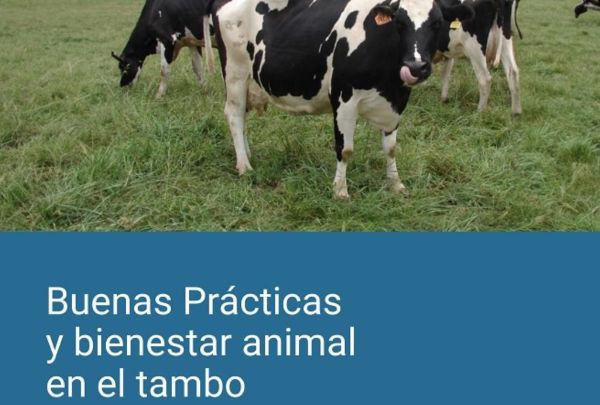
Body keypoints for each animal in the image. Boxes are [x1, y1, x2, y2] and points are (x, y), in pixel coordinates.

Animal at [211, 0, 472, 199]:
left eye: (437, 23)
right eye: (399, 23)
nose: (416, 67)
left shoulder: (396, 102)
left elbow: (390, 148)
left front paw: (396, 184)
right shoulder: (344, 98)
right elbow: (345, 149)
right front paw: (340, 191)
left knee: (243, 118)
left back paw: (246, 155)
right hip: (235, 73)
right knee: (234, 115)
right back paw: (244, 166)